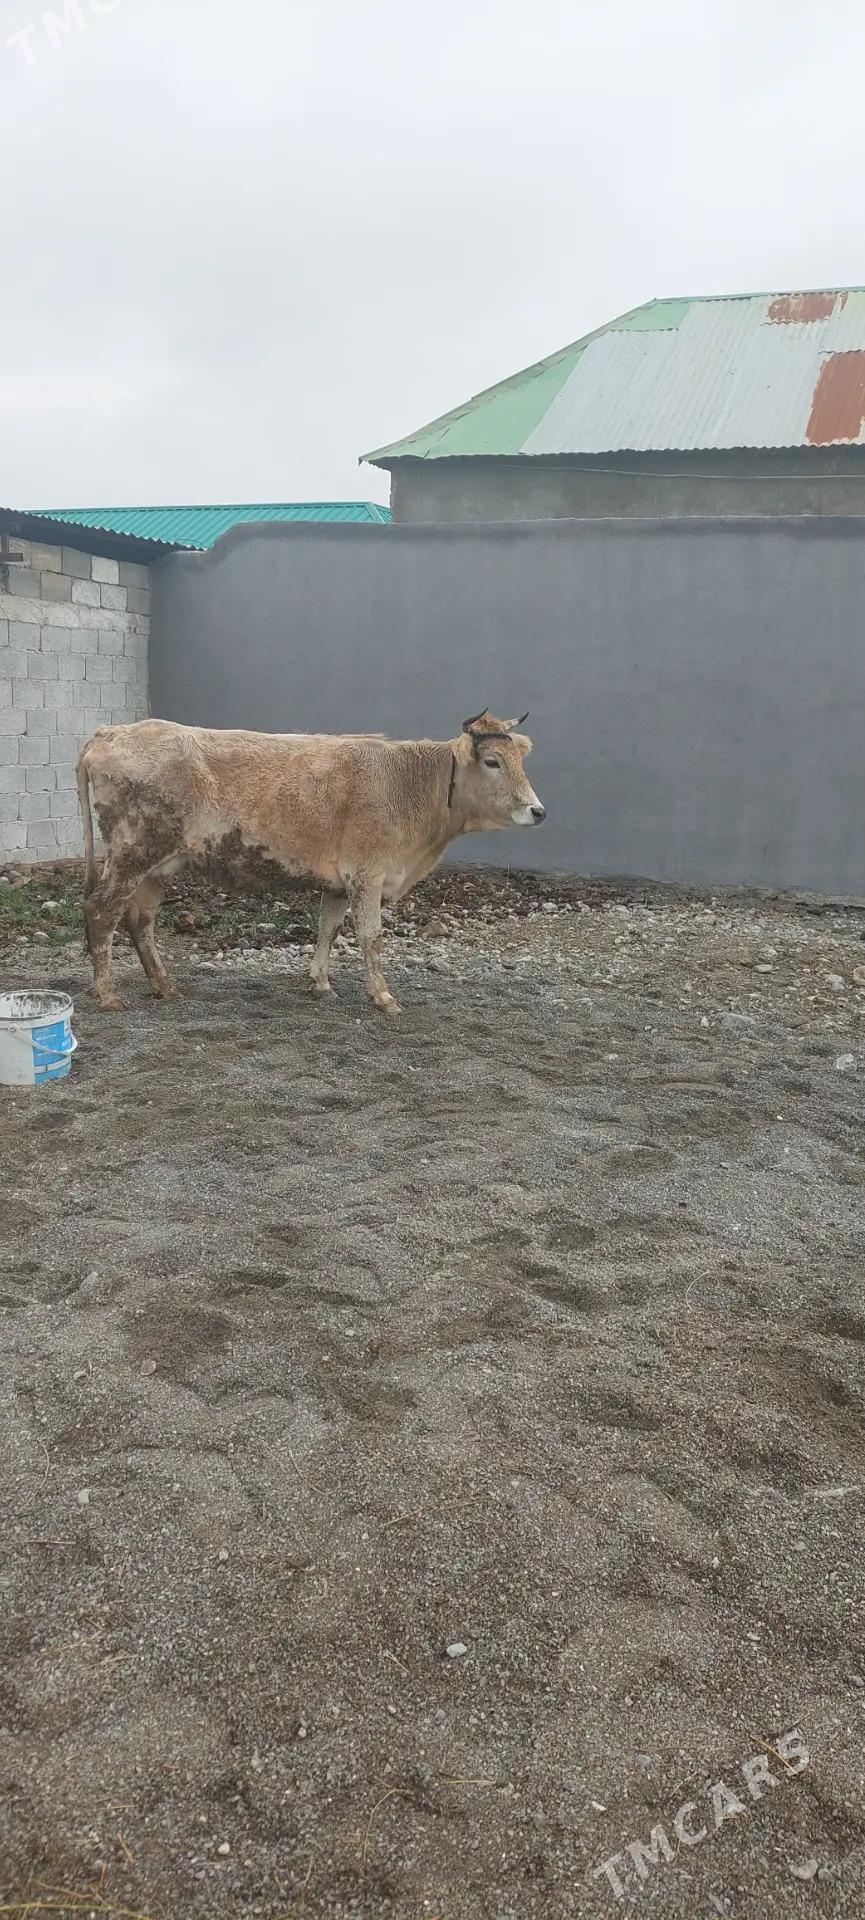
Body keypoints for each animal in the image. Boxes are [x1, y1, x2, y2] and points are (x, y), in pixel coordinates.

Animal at [75, 709, 546, 1016]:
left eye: (520, 760)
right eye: (492, 761)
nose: (538, 811)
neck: (405, 783)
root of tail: (110, 732)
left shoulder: (339, 882)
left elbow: (328, 929)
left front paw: (320, 983)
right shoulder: (367, 874)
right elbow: (370, 937)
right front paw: (383, 997)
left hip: (156, 866)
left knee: (140, 921)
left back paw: (165, 987)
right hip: (131, 854)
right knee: (102, 911)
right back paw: (108, 994)